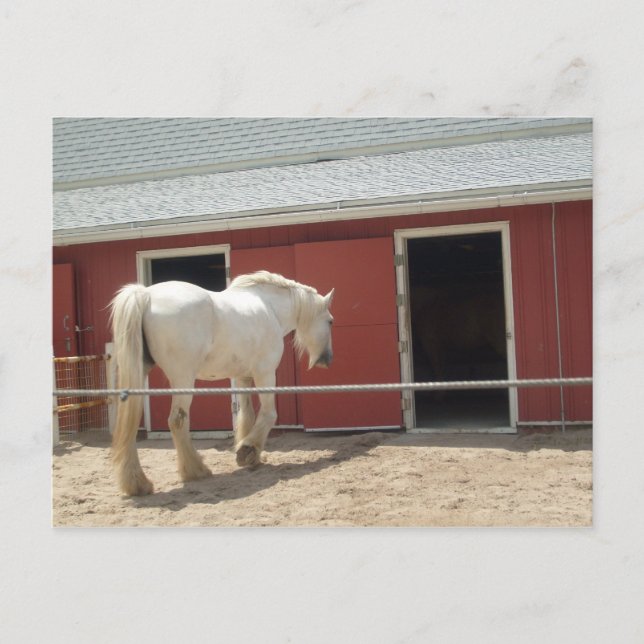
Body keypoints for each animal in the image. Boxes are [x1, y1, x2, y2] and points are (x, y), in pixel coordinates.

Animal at [109, 271, 334, 496]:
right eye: (330, 321)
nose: (327, 359)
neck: (270, 308)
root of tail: (145, 295)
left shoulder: (243, 377)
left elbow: (246, 415)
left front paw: (251, 455)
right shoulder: (266, 373)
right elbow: (269, 414)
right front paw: (248, 449)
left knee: (130, 420)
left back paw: (138, 483)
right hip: (183, 379)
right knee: (177, 421)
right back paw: (196, 470)